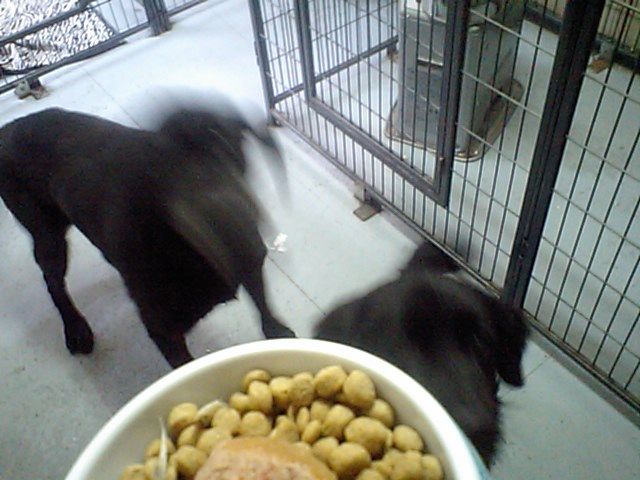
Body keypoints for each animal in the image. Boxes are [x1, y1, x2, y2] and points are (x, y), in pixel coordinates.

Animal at [0, 106, 295, 368]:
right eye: (162, 168)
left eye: (227, 145)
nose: (240, 235)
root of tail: (9, 128)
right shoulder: (164, 331)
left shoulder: (250, 269)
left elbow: (262, 301)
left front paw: (277, 332)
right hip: (46, 235)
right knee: (53, 282)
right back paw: (76, 330)